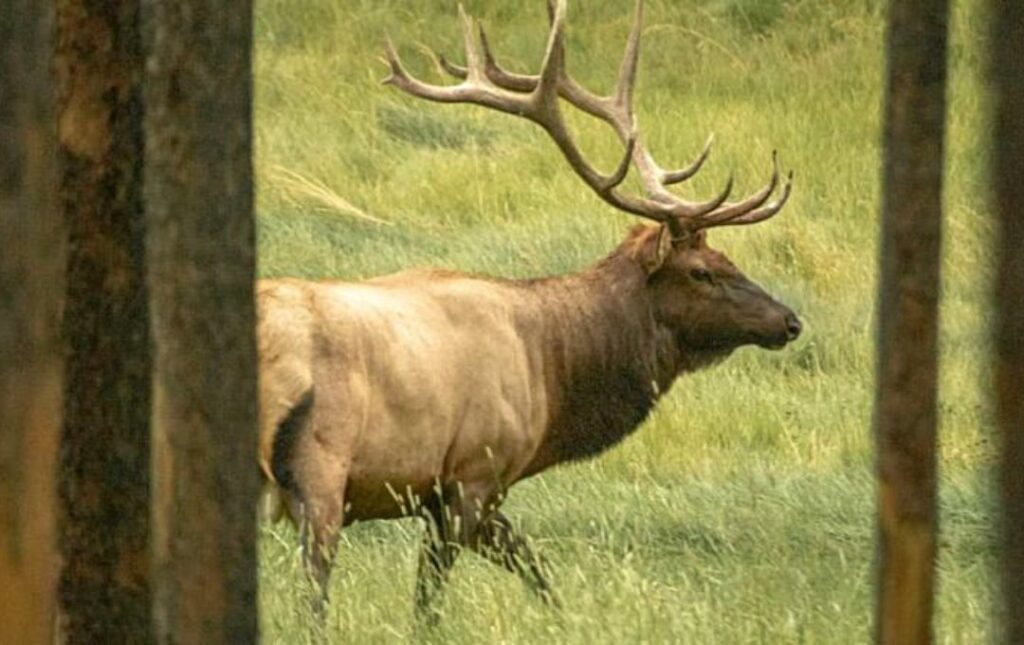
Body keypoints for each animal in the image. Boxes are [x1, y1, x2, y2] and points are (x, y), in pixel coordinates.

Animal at [256, 0, 798, 622]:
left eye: (727, 257)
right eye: (701, 271)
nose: (789, 321)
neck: (552, 374)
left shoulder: (459, 493)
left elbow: (537, 571)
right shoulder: (473, 473)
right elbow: (431, 601)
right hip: (321, 468)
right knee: (314, 597)